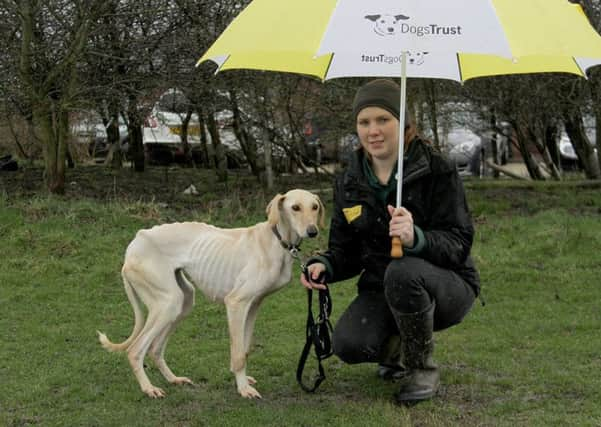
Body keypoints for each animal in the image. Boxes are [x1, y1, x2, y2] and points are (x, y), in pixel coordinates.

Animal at [97, 189, 324, 400]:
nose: (313, 231)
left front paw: (242, 379)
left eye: (314, 207)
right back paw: (148, 388)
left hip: (183, 301)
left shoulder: (253, 305)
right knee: (135, 350)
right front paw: (243, 388)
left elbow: (244, 349)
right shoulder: (236, 303)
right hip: (168, 304)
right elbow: (238, 353)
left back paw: (174, 379)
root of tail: (135, 242)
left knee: (154, 348)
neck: (277, 240)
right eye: (295, 207)